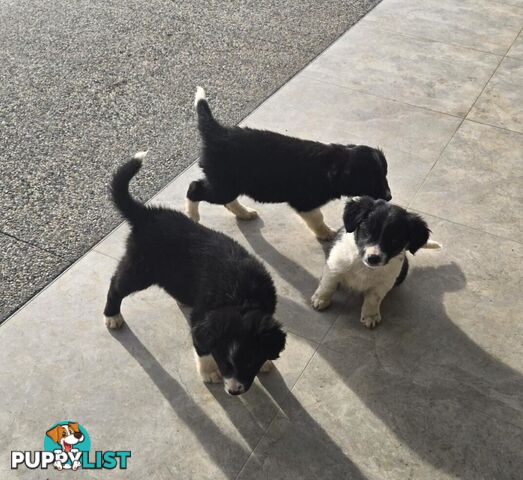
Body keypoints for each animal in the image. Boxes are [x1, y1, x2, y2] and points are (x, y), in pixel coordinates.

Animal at [105, 153, 288, 394]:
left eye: (250, 362)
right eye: (223, 362)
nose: (234, 391)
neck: (241, 297)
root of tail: (146, 214)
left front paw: (266, 363)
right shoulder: (202, 320)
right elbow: (202, 348)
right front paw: (209, 373)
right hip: (140, 269)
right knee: (116, 285)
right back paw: (112, 316)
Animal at [186, 86, 390, 240]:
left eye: (384, 175)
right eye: (371, 180)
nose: (389, 197)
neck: (331, 165)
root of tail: (217, 132)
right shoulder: (305, 201)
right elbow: (318, 217)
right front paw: (326, 233)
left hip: (227, 183)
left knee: (225, 200)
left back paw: (244, 213)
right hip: (224, 185)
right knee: (194, 188)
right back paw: (193, 216)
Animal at [312, 195, 442, 326]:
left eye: (395, 240)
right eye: (367, 231)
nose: (373, 258)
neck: (364, 266)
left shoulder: (383, 283)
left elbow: (373, 299)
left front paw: (370, 315)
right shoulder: (335, 265)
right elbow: (328, 285)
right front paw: (321, 299)